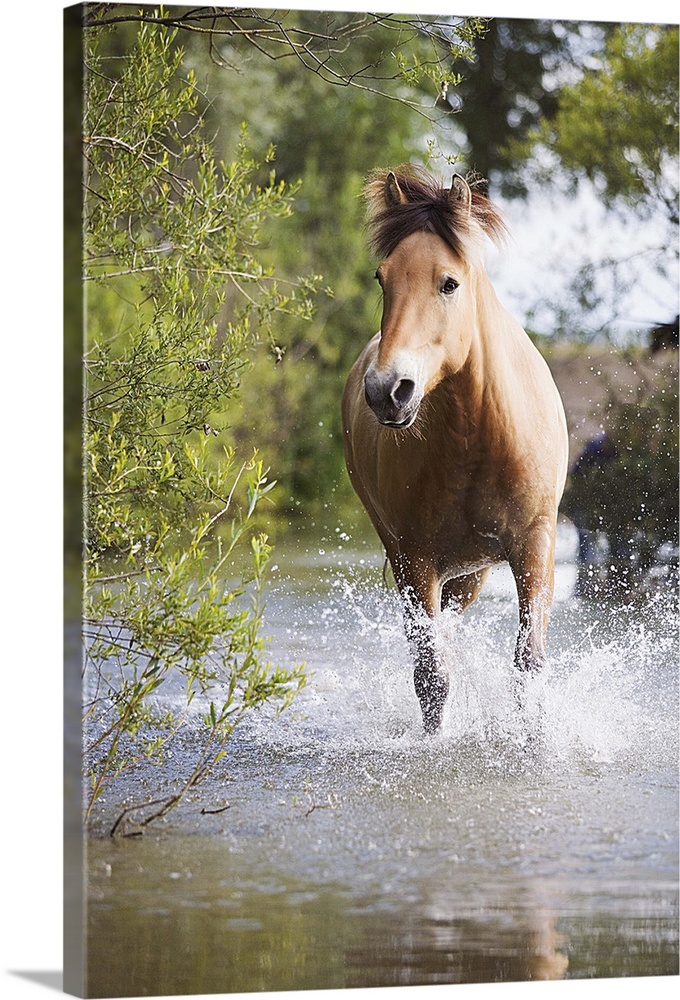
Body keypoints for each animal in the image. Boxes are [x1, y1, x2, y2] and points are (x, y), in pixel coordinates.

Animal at [340, 168, 568, 736]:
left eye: (449, 283)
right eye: (382, 278)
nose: (387, 389)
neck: (478, 438)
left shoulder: (534, 546)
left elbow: (528, 664)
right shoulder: (416, 559)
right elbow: (431, 677)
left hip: (472, 573)